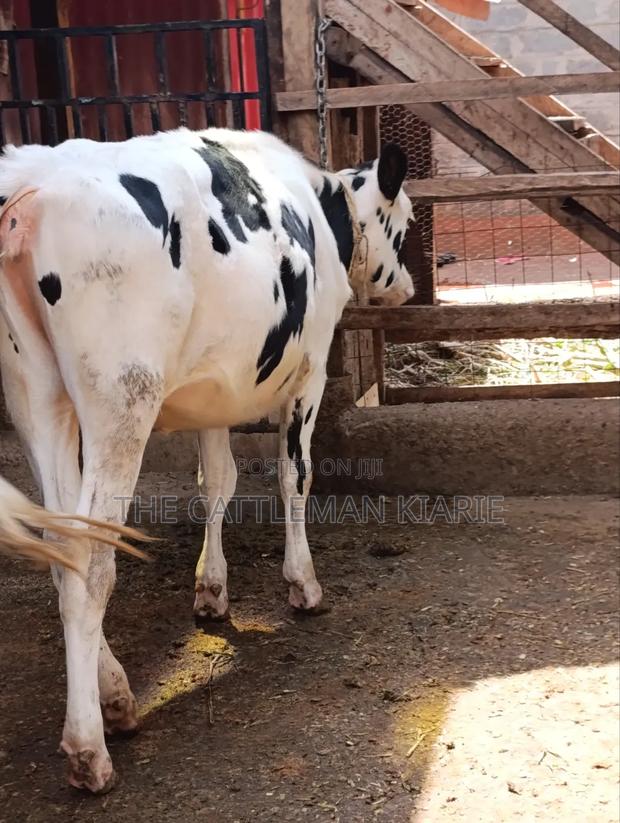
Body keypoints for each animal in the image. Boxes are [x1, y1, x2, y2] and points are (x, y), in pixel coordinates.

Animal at [0, 126, 414, 792]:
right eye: (404, 221)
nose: (406, 286)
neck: (322, 205)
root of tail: (30, 180)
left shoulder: (217, 389)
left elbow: (218, 481)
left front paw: (212, 589)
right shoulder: (311, 373)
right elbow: (295, 476)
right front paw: (303, 584)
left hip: (34, 393)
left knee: (63, 542)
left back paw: (116, 695)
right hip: (123, 396)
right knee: (91, 560)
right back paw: (89, 747)